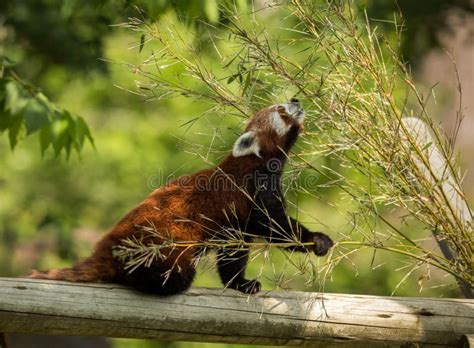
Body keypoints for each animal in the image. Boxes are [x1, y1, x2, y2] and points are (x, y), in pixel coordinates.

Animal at [29, 99, 334, 294]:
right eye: (280, 110)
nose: (294, 99)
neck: (256, 160)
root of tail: (106, 245)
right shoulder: (255, 189)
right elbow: (275, 225)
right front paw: (316, 239)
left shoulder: (234, 223)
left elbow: (233, 253)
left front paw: (241, 283)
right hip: (162, 245)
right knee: (174, 276)